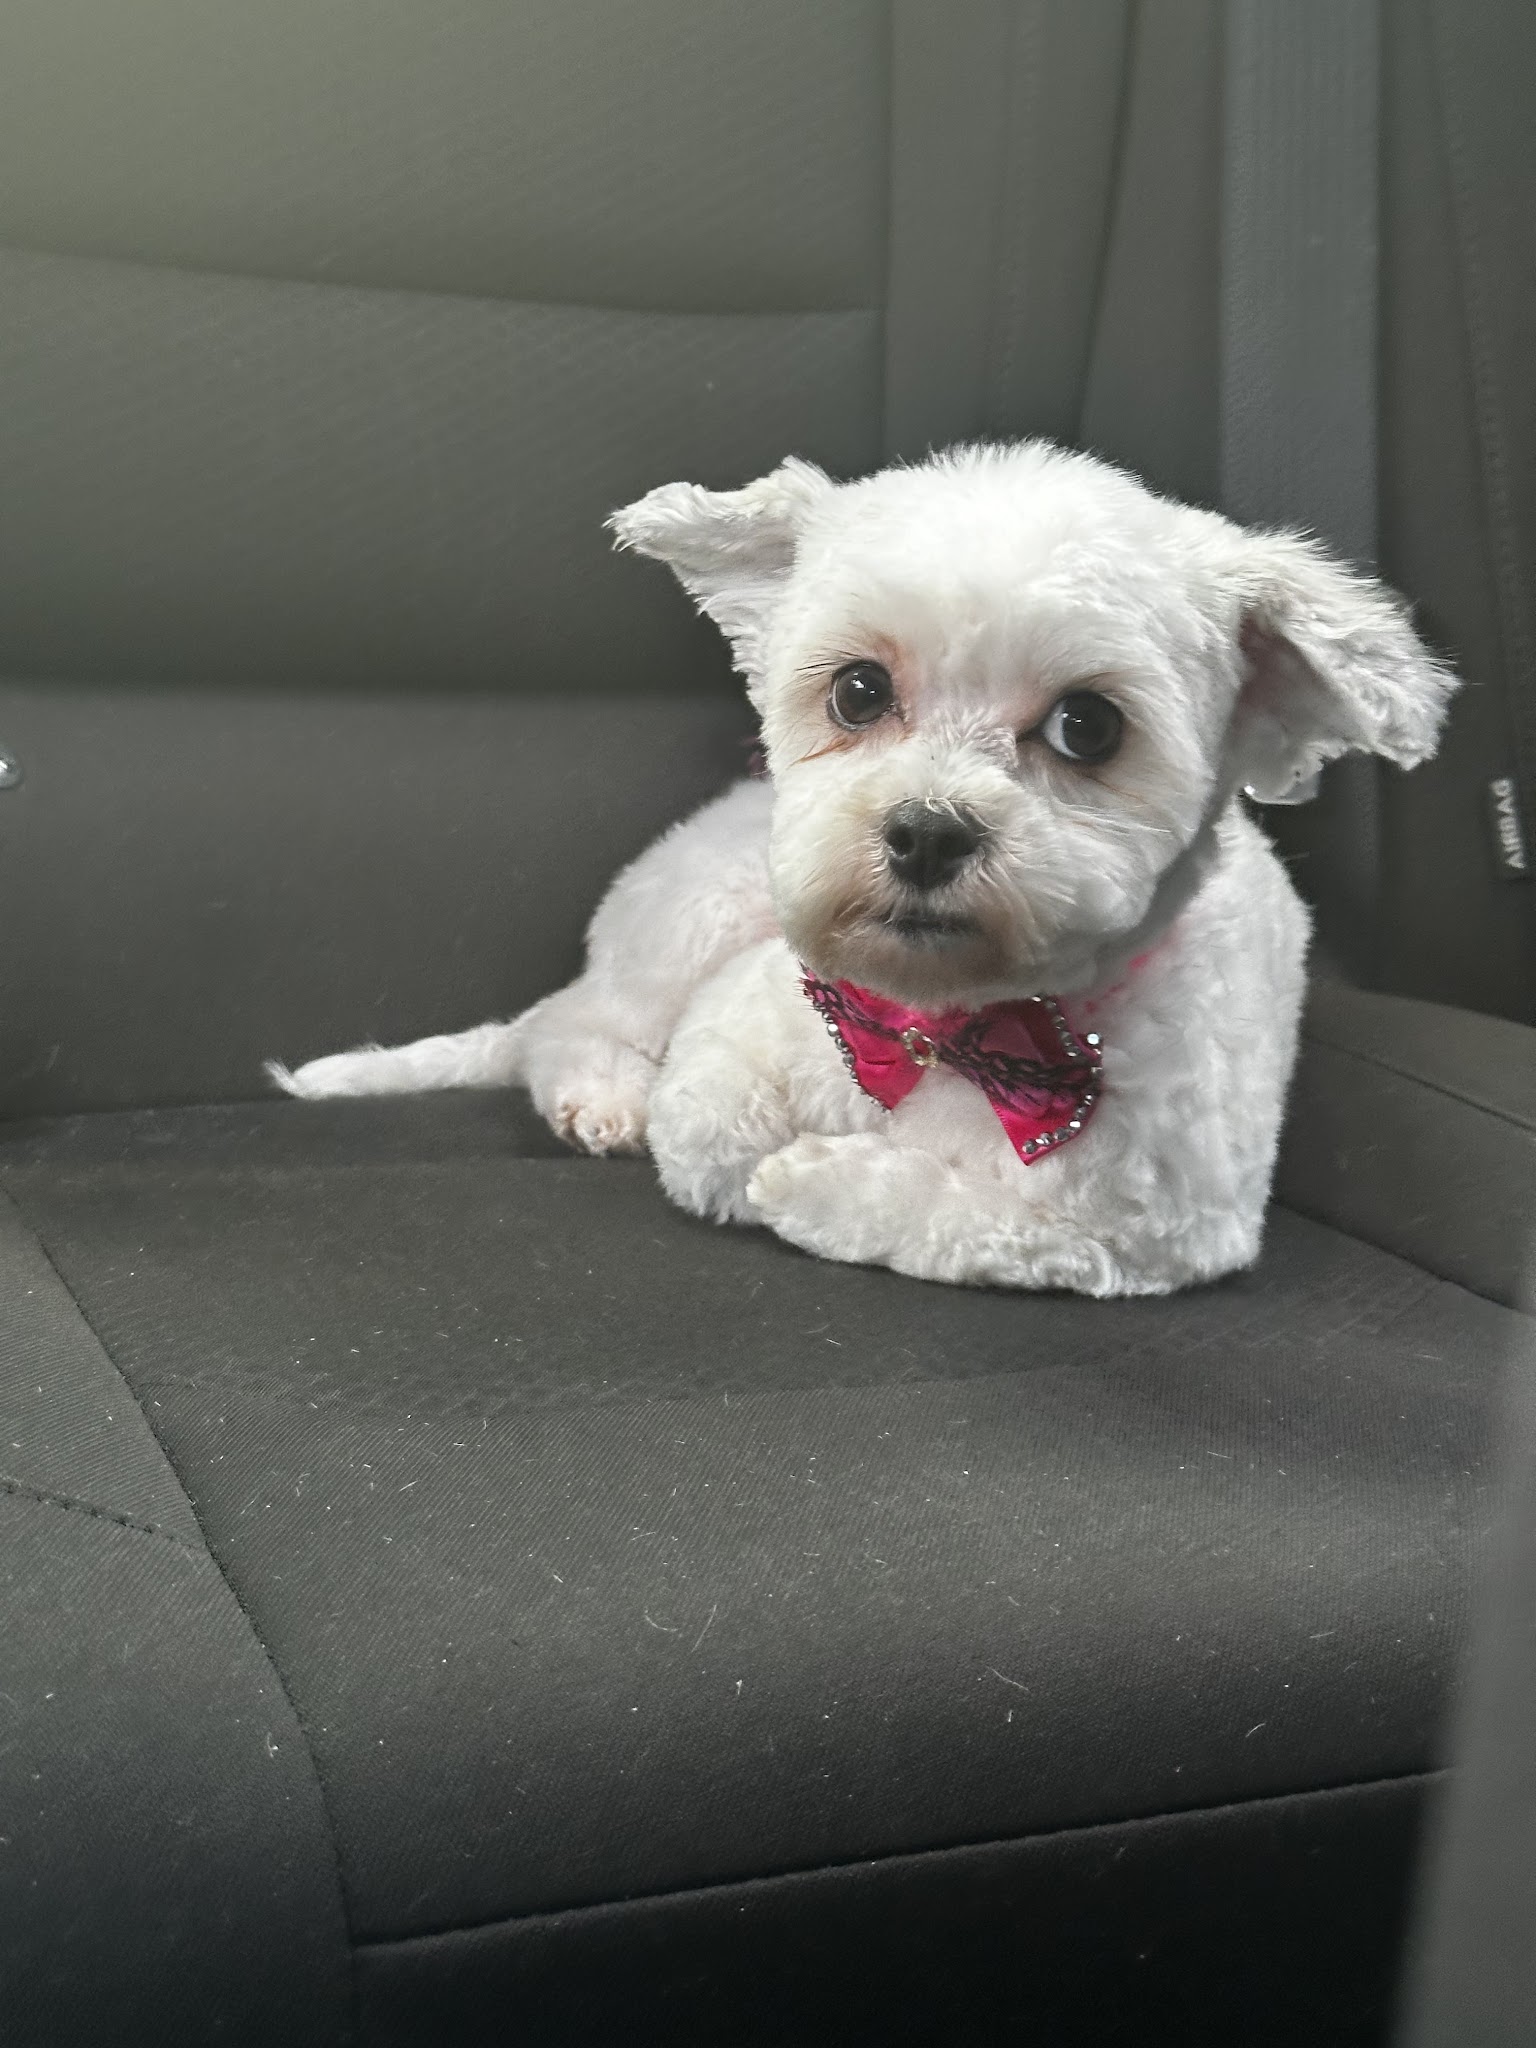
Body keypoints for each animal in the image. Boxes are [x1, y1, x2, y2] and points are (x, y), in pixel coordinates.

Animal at [271, 443, 1456, 1296]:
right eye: (856, 691)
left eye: (1088, 726)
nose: (926, 832)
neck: (959, 1027)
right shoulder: (738, 1029)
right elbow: (705, 1130)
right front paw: (758, 1157)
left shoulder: (1164, 1224)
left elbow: (981, 1220)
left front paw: (815, 1183)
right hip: (702, 917)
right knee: (571, 1027)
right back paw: (599, 1092)